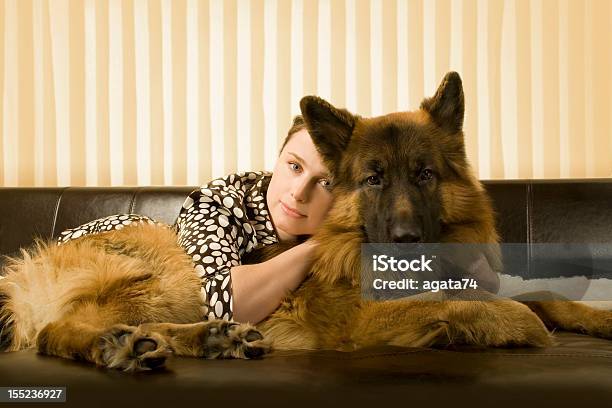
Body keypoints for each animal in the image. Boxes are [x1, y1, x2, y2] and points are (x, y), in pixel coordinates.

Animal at [1, 71, 612, 372]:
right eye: (372, 179)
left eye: (424, 174)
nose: (405, 240)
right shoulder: (363, 321)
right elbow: (507, 310)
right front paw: (509, 330)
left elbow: (542, 298)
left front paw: (596, 318)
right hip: (169, 266)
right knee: (58, 331)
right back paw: (120, 346)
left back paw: (208, 340)